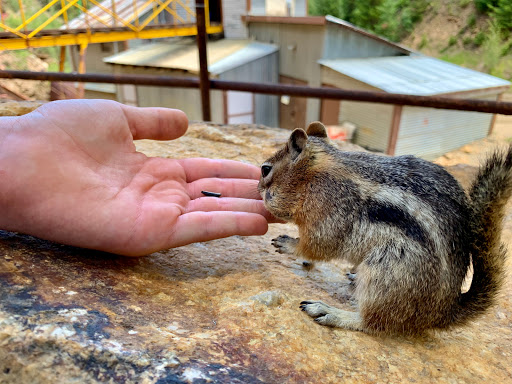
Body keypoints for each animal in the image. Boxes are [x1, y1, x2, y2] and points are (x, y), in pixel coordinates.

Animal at [260, 121, 512, 334]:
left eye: (265, 170)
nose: (258, 188)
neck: (315, 176)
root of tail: (441, 314)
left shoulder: (329, 214)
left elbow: (318, 245)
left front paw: (289, 244)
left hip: (388, 270)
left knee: (374, 322)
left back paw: (332, 312)